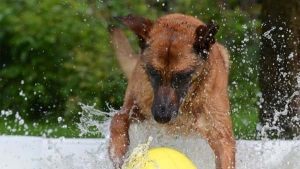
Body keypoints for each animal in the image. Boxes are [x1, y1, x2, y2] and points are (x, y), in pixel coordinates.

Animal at [109, 13, 236, 169]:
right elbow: (118, 119)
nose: (161, 117)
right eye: (153, 72)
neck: (187, 102)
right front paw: (117, 151)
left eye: (182, 76)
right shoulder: (135, 107)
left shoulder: (221, 136)